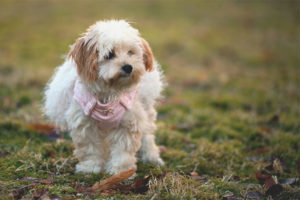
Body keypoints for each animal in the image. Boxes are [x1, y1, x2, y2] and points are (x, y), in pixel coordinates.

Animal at [42, 19, 164, 174]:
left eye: (130, 52)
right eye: (110, 54)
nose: (128, 67)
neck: (109, 93)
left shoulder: (128, 122)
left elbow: (122, 151)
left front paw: (120, 171)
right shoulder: (85, 124)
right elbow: (90, 149)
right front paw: (90, 168)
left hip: (146, 109)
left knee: (147, 135)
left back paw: (151, 156)